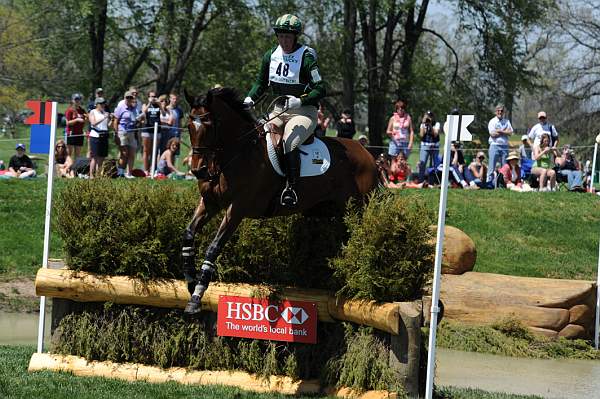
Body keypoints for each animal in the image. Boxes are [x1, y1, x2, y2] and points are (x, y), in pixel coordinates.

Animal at [182, 88, 380, 316]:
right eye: (189, 126)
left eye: (209, 126)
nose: (199, 171)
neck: (236, 154)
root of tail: (367, 154)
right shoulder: (209, 203)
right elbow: (188, 235)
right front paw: (190, 281)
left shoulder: (237, 208)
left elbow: (214, 247)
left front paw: (196, 296)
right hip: (324, 212)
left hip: (356, 211)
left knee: (359, 239)